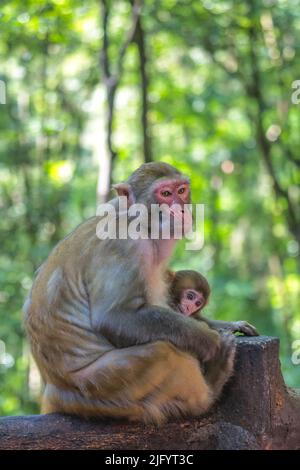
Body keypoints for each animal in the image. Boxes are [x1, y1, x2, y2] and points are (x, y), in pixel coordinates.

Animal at [23, 163, 237, 424]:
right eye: (165, 194)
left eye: (182, 190)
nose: (182, 209)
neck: (137, 221)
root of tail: (55, 392)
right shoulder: (124, 245)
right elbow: (115, 316)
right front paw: (208, 340)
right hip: (100, 388)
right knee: (163, 352)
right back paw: (210, 388)